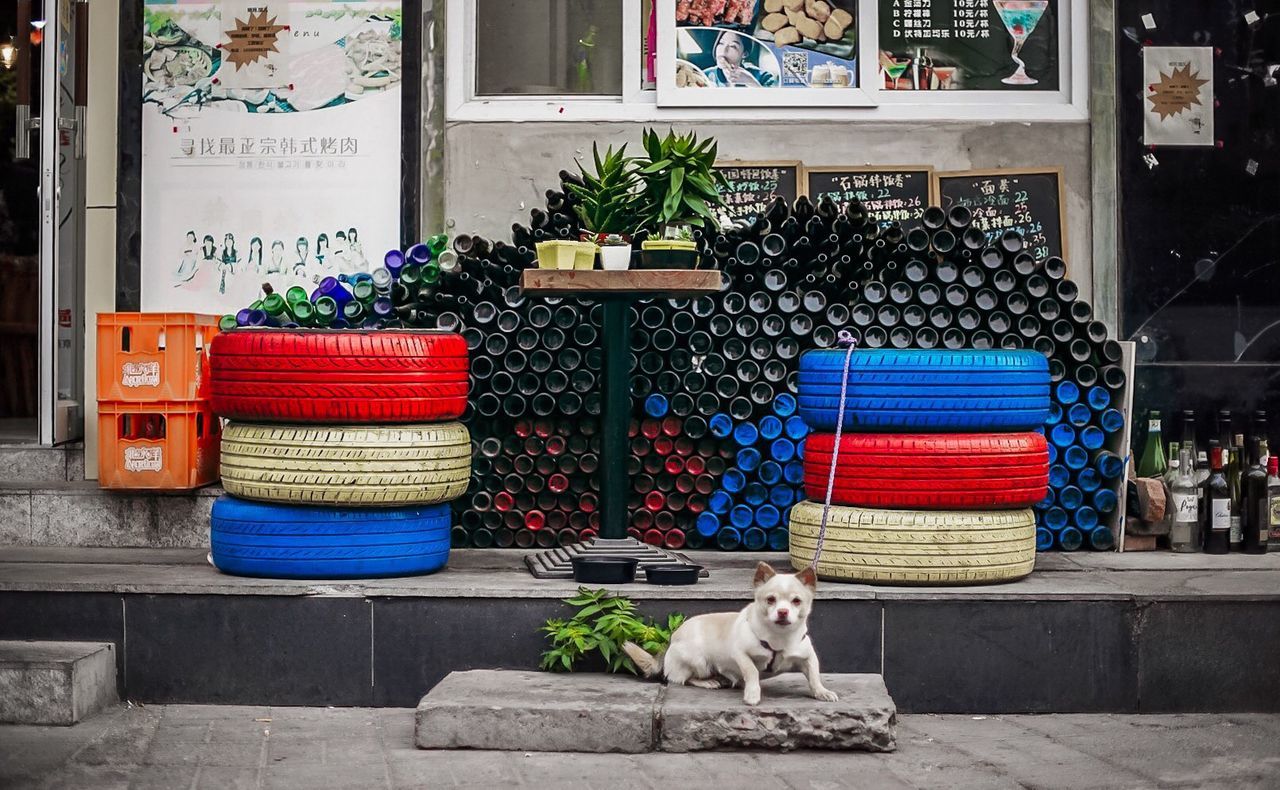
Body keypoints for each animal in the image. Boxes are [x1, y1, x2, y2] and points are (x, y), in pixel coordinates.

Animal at [622, 560, 839, 701]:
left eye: (796, 601)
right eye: (770, 600)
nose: (783, 611)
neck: (779, 638)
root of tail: (670, 641)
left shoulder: (808, 657)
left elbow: (814, 675)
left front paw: (821, 692)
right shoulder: (741, 654)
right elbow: (752, 671)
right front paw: (753, 693)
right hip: (698, 660)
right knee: (682, 679)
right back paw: (708, 682)